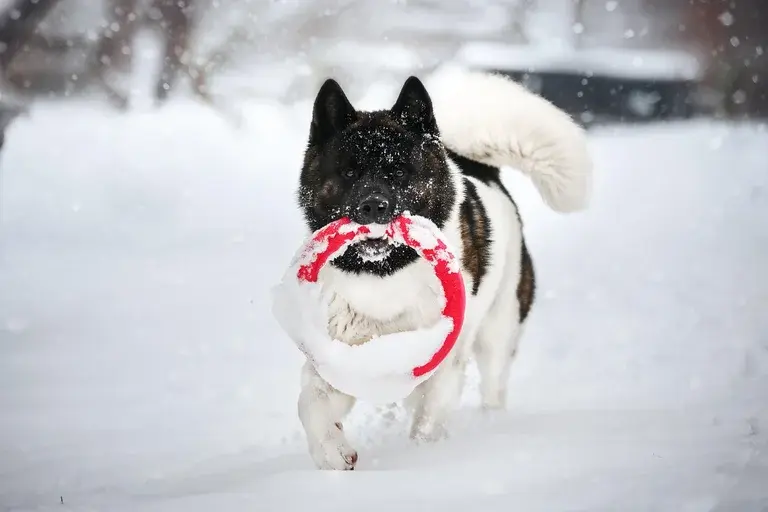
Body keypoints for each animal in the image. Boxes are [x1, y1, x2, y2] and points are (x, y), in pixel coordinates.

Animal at [292, 66, 592, 470]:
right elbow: (311, 402)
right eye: (350, 172)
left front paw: (425, 461)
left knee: (494, 385)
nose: (373, 207)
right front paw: (332, 454)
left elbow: (427, 423)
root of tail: (482, 168)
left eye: (398, 172)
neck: (385, 274)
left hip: (500, 328)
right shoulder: (340, 354)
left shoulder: (443, 366)